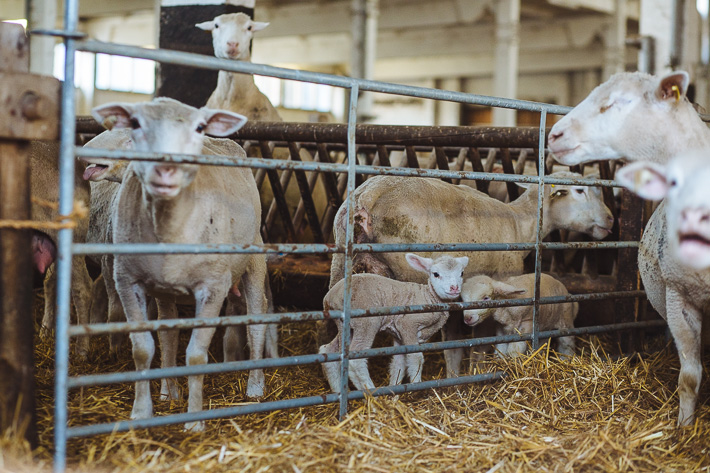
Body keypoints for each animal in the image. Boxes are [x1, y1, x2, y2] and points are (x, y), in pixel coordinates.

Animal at [93, 97, 272, 430]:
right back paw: (169, 390)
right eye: (134, 123)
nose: (166, 168)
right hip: (165, 290)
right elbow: (144, 347)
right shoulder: (128, 281)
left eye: (198, 127)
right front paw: (143, 411)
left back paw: (255, 386)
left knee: (257, 319)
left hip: (254, 258)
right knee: (169, 334)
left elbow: (197, 355)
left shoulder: (212, 287)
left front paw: (194, 421)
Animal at [322, 253, 468, 392]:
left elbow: (398, 364)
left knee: (329, 350)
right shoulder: (407, 324)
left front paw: (395, 393)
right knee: (356, 358)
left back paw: (338, 390)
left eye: (461, 273)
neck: (430, 298)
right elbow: (416, 357)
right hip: (366, 323)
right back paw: (371, 393)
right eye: (436, 274)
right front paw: (417, 384)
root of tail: (331, 296)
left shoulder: (399, 335)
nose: (454, 288)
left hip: (345, 325)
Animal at [330, 171, 616, 376]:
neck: (521, 223)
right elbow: (479, 345)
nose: (611, 219)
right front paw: (477, 373)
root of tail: (370, 196)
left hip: (341, 266)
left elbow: (453, 347)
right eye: (579, 190)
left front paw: (454, 379)